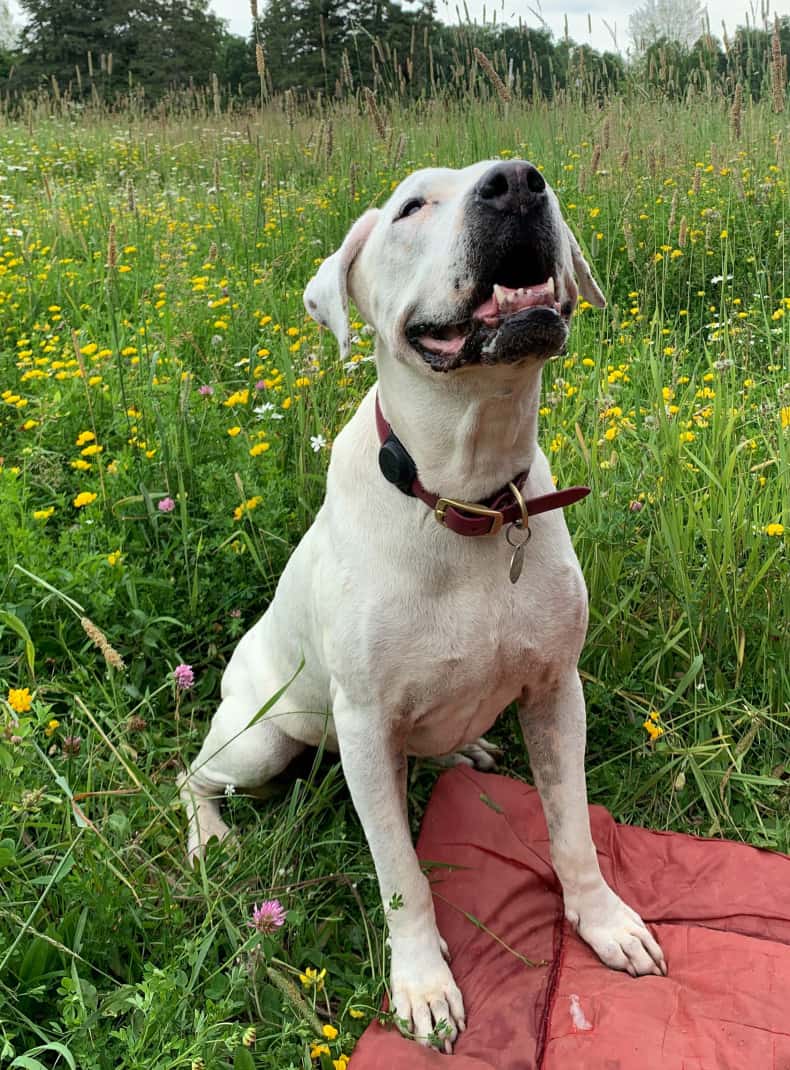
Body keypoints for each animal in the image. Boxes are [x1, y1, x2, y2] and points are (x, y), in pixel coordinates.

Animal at [179, 158, 663, 1052]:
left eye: (531, 177)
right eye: (411, 208)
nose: (516, 183)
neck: (469, 496)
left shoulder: (556, 691)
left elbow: (573, 828)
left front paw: (603, 921)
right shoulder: (367, 727)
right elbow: (402, 871)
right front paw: (423, 984)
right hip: (259, 740)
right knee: (192, 775)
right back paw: (210, 836)